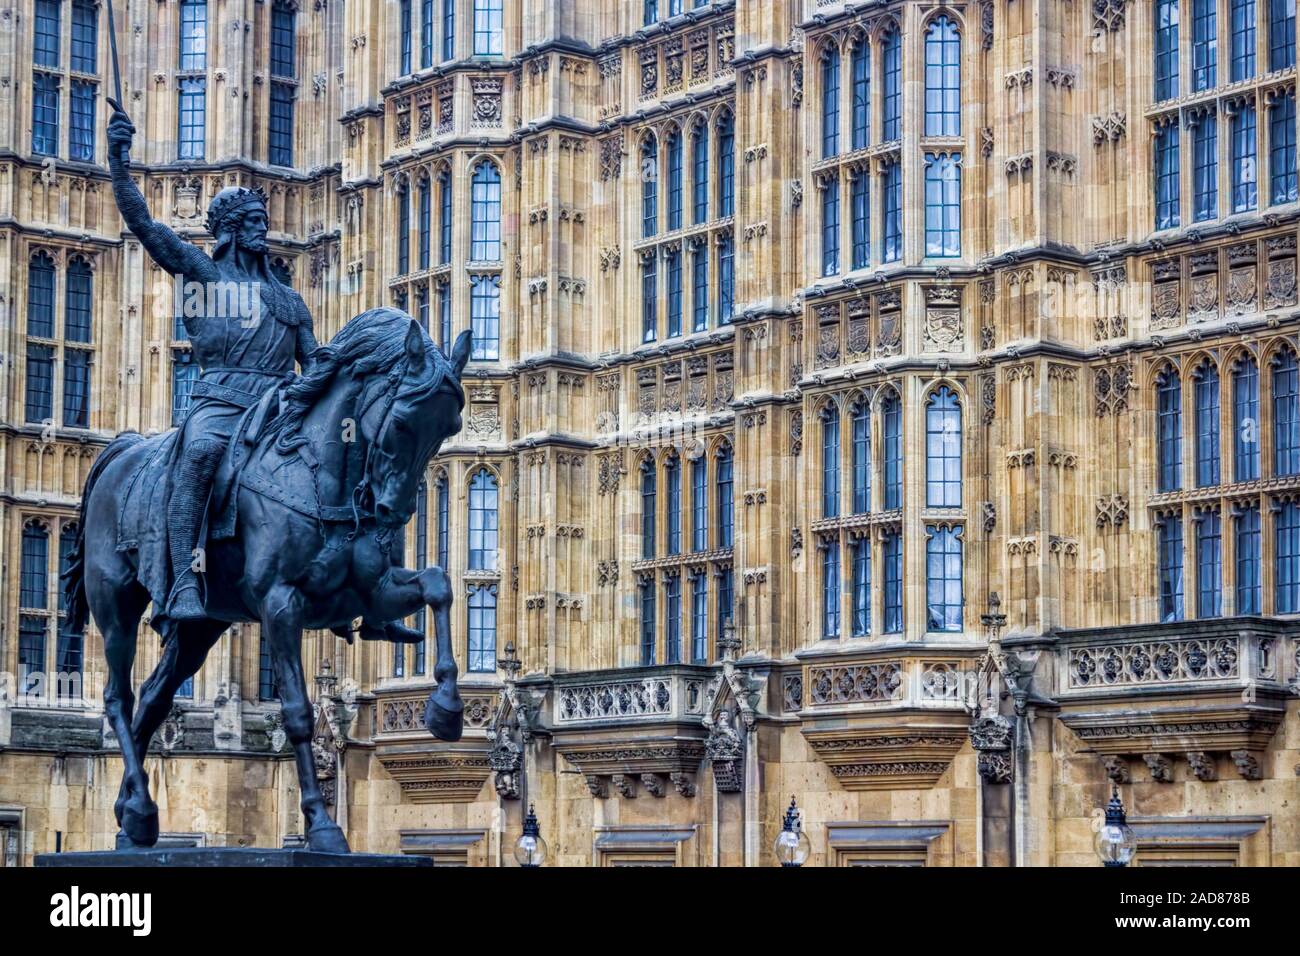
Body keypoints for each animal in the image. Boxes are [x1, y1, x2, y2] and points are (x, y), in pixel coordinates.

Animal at [63, 306, 475, 853]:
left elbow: (438, 584)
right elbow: (297, 712)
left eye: (449, 426)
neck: (322, 474)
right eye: (405, 421)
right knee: (118, 696)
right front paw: (321, 825)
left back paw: (131, 813)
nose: (394, 511)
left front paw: (446, 708)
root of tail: (122, 450)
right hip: (115, 602)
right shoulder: (281, 604)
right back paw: (143, 811)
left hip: (201, 624)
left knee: (152, 698)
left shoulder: (365, 592)